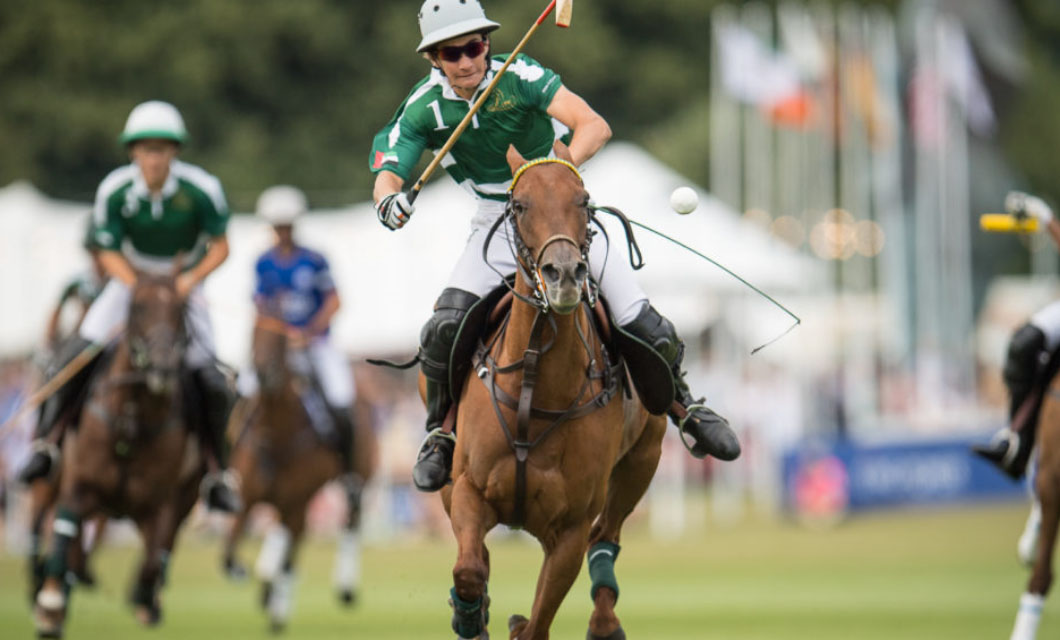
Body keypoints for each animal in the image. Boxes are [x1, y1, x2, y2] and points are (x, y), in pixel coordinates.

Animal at [33, 273, 204, 635]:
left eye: (181, 310)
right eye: (137, 308)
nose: (162, 367)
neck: (131, 420)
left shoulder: (162, 502)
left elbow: (153, 557)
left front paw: (146, 599)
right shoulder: (78, 485)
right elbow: (63, 536)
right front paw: (51, 605)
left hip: (181, 498)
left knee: (161, 549)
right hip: (52, 483)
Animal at [219, 311, 377, 631]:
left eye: (280, 337)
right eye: (253, 331)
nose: (264, 374)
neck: (276, 433)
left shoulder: (295, 501)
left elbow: (289, 560)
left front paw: (278, 612)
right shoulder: (248, 499)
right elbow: (229, 553)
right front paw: (248, 574)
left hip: (358, 475)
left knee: (351, 519)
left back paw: (344, 588)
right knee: (285, 535)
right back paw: (266, 582)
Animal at [434, 144, 665, 640]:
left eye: (584, 200)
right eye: (520, 205)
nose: (564, 274)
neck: (536, 387)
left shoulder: (569, 529)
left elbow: (537, 625)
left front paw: (515, 621)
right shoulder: (468, 490)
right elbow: (468, 569)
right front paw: (469, 615)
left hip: (643, 459)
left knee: (606, 535)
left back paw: (604, 621)